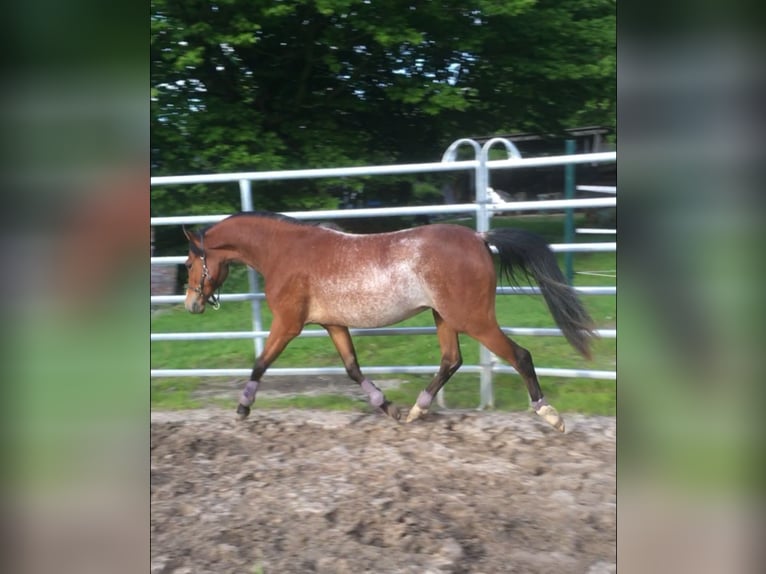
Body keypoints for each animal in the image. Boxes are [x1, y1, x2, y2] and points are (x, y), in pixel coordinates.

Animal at [183, 212, 596, 432]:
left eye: (188, 263)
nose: (191, 305)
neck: (285, 252)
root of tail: (479, 237)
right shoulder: (333, 324)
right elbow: (352, 368)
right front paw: (387, 407)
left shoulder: (288, 323)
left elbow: (260, 362)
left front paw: (242, 408)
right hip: (444, 316)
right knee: (451, 360)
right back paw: (415, 411)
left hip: (472, 318)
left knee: (519, 355)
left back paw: (550, 415)